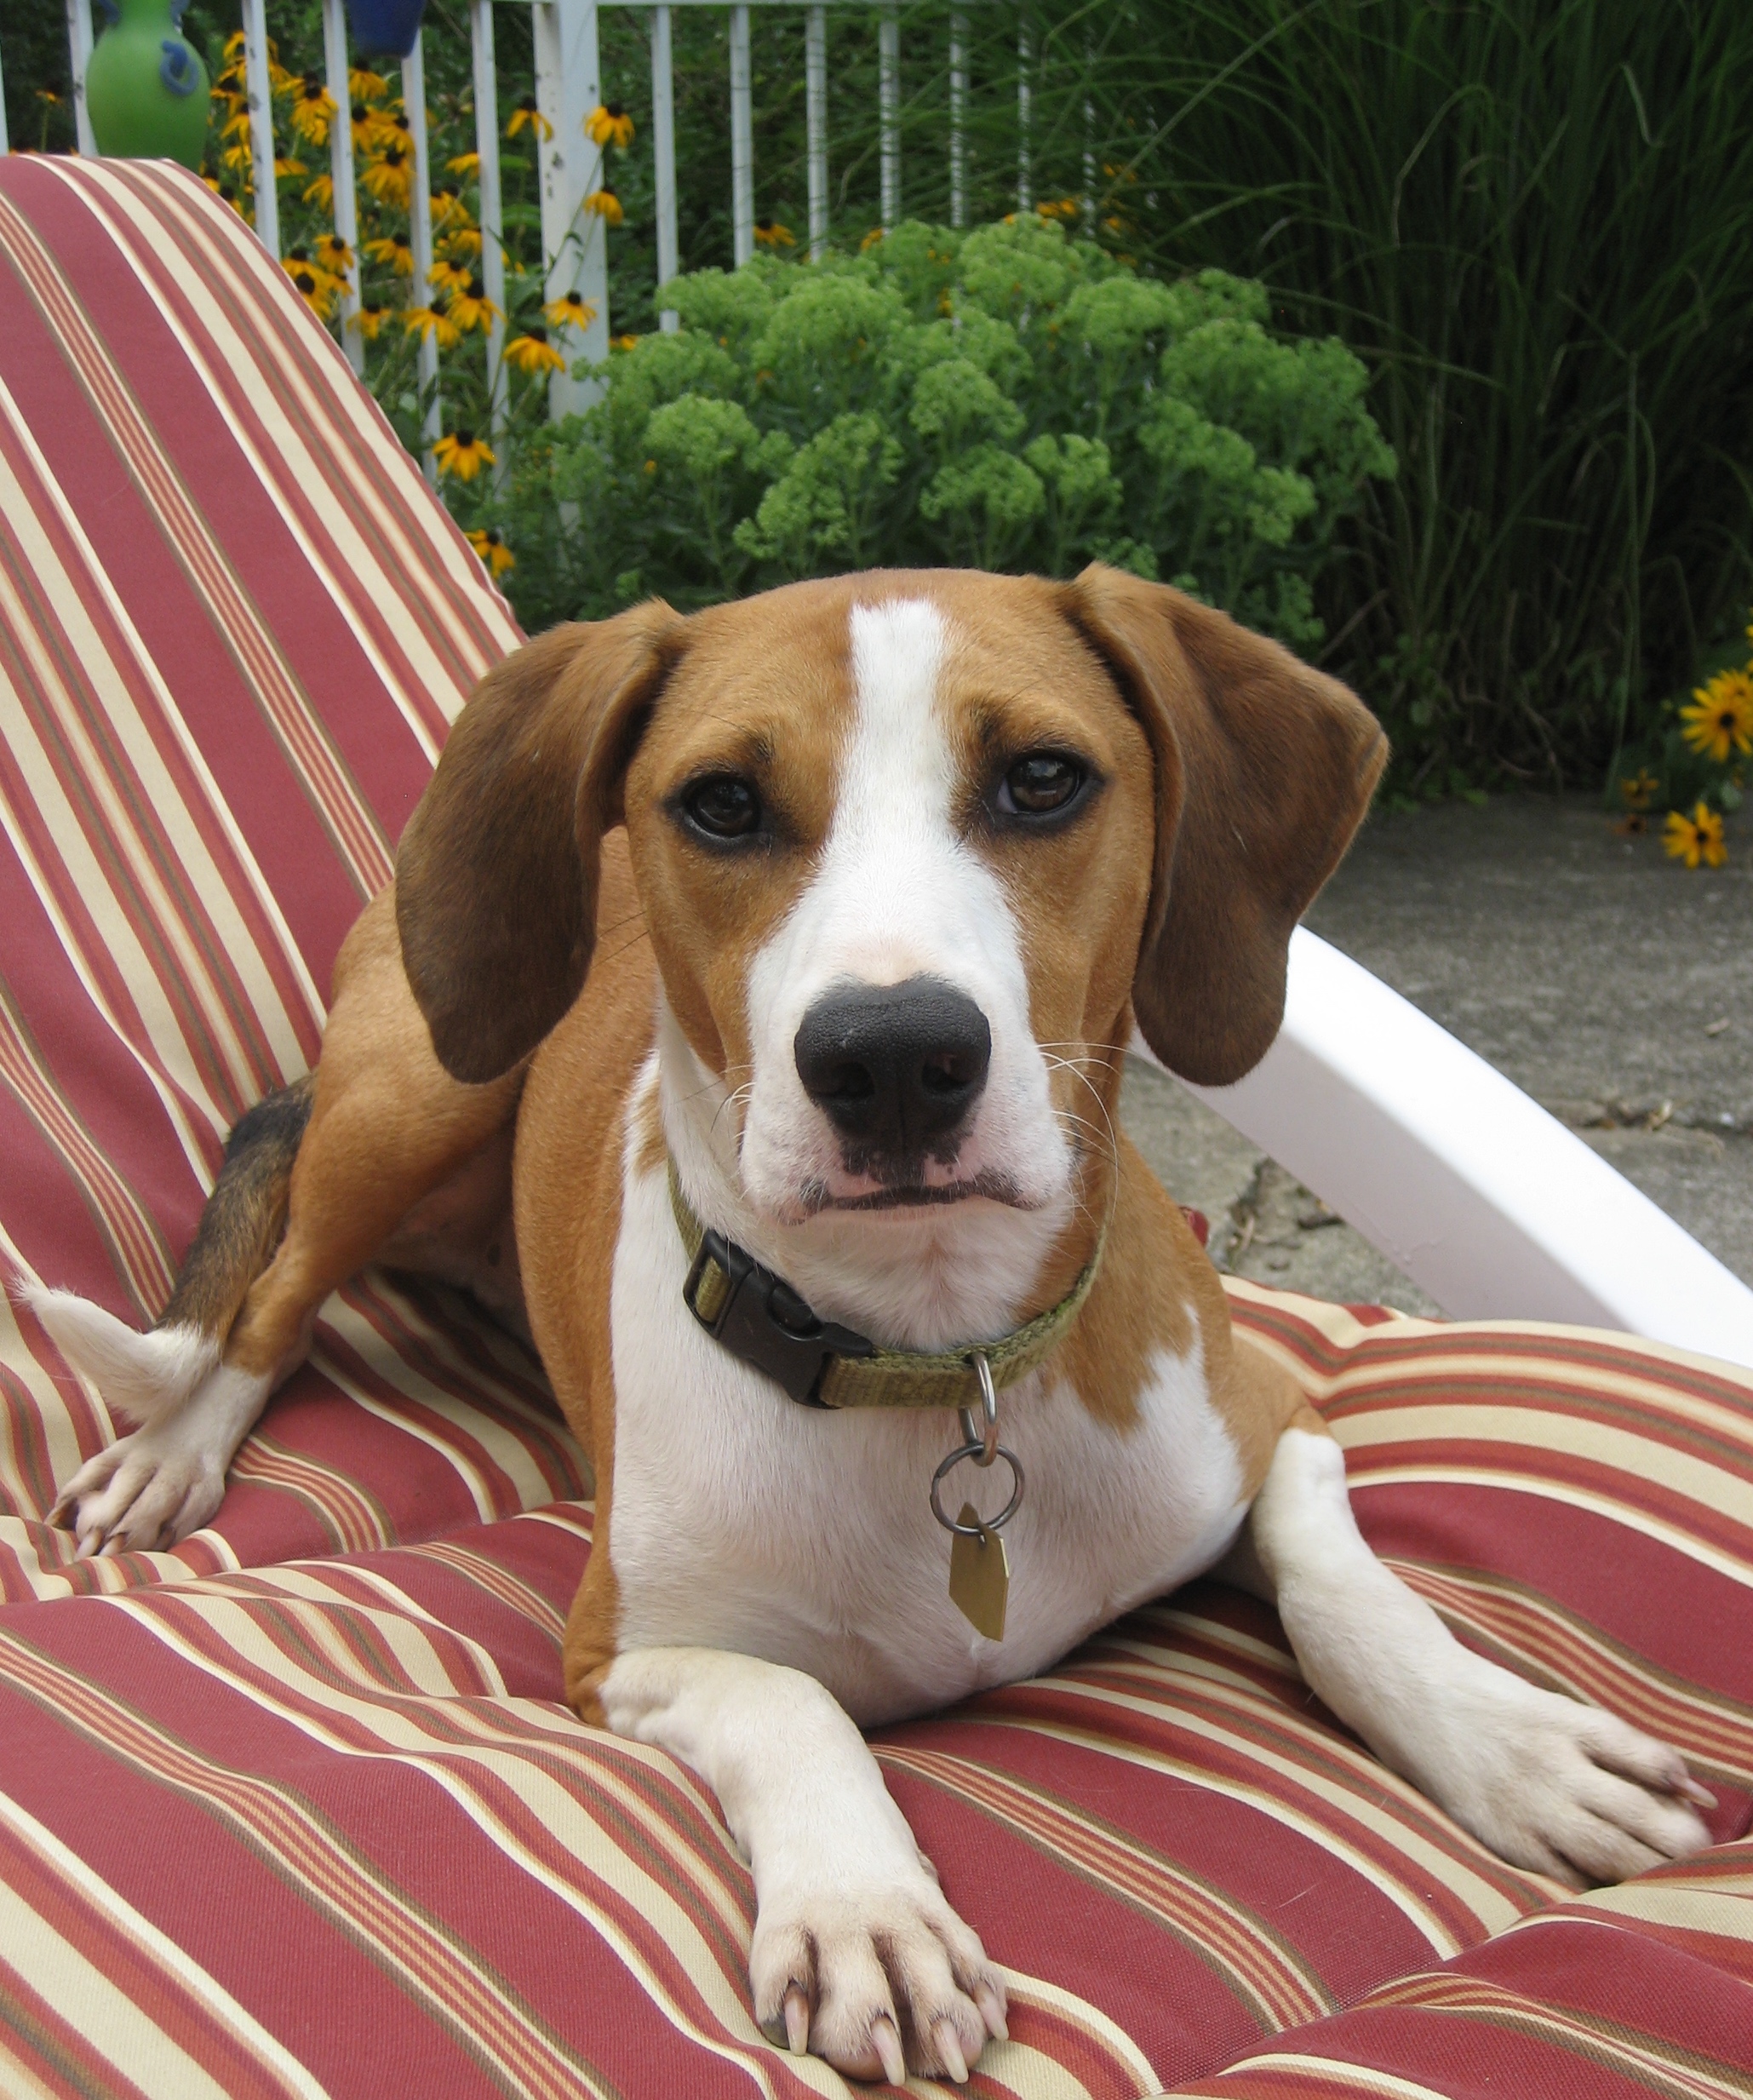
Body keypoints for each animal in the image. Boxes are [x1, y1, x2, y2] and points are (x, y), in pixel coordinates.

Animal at [37, 566, 1713, 2091]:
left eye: (1041, 777)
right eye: (719, 803)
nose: (893, 1055)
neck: (935, 1354)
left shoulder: (1271, 1421)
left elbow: (1343, 1586)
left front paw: (1508, 1741)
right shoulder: (617, 1649)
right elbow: (789, 1701)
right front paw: (865, 1909)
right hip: (420, 1088)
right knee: (266, 1303)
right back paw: (173, 1452)